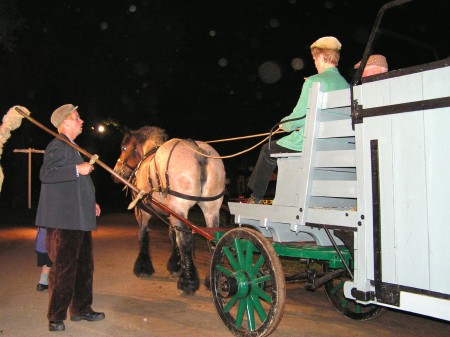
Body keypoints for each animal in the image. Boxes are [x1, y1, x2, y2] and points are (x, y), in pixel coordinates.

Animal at [112, 126, 225, 294]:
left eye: (124, 148)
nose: (116, 173)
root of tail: (198, 150)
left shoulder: (143, 212)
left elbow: (143, 236)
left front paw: (143, 267)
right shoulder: (170, 212)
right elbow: (172, 235)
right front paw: (175, 265)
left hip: (180, 207)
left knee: (185, 240)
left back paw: (187, 282)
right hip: (211, 208)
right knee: (212, 239)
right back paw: (211, 280)